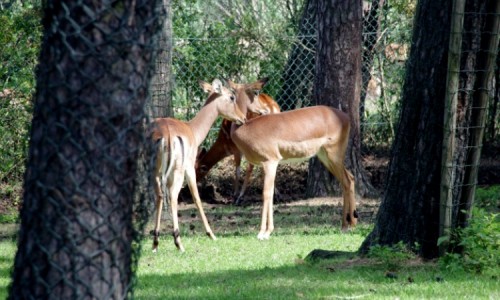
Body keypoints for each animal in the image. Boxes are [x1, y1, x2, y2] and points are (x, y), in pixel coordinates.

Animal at [150, 78, 248, 252]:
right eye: (231, 97)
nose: (242, 118)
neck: (192, 129)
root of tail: (166, 134)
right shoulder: (190, 169)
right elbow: (196, 197)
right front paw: (211, 234)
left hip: (155, 171)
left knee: (160, 195)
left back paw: (155, 243)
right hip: (177, 171)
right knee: (173, 196)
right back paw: (178, 243)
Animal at [230, 105, 360, 239]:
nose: (240, 119)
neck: (249, 129)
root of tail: (345, 117)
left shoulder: (271, 163)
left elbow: (266, 194)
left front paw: (264, 233)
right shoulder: (263, 165)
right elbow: (269, 193)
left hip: (333, 155)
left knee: (347, 181)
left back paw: (347, 225)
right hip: (325, 156)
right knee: (350, 178)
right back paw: (349, 224)